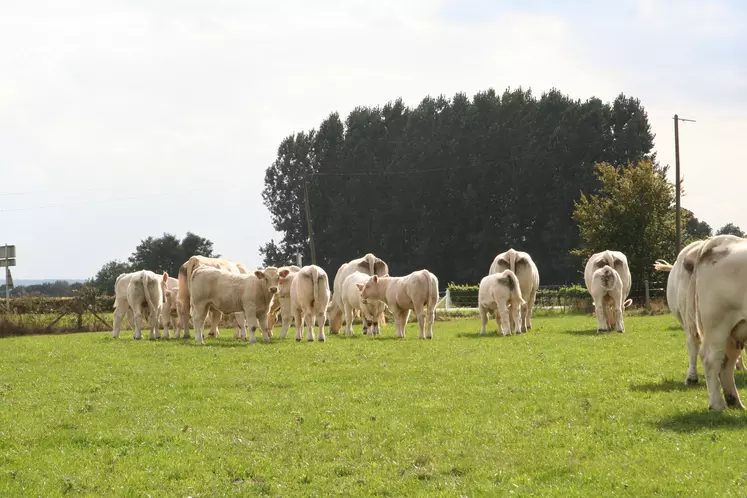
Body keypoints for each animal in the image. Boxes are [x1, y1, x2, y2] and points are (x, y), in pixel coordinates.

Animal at [688, 235, 747, 410]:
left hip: (735, 331)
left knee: (726, 363)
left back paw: (735, 402)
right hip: (718, 323)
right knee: (711, 358)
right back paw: (717, 404)